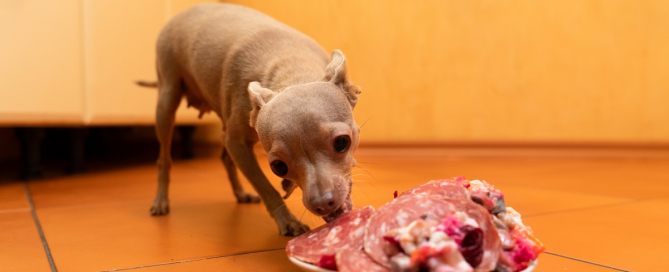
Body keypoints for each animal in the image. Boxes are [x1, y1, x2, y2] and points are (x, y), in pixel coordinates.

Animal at [142, 3, 362, 236]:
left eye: (342, 143)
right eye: (278, 167)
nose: (322, 203)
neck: (289, 70)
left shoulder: (234, 141)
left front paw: (288, 186)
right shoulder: (237, 144)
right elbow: (265, 186)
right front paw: (288, 221)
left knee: (225, 158)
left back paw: (241, 194)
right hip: (167, 102)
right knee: (164, 159)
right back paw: (160, 201)